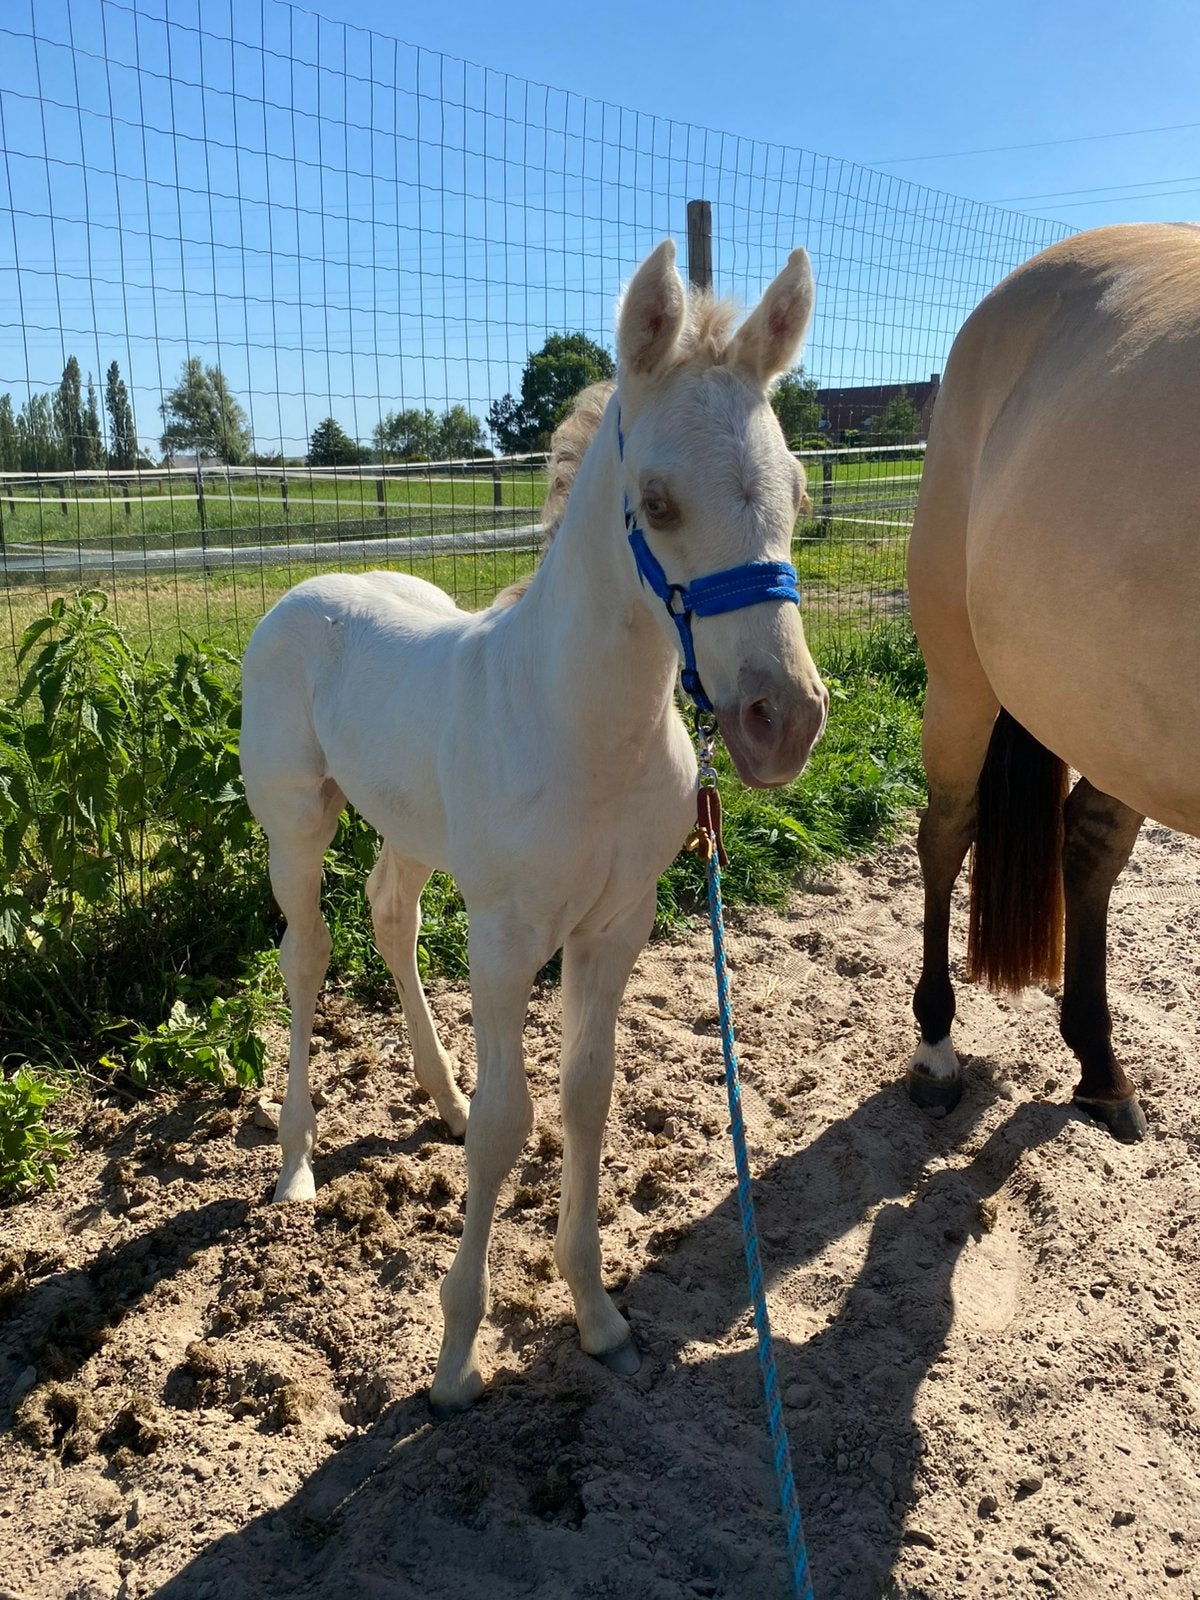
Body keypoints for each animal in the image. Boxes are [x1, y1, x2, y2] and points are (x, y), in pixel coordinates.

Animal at [240, 239, 830, 1413]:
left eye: (794, 489)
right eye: (656, 502)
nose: (781, 718)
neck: (587, 728)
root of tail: (307, 589)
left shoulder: (614, 927)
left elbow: (585, 1101)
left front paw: (596, 1314)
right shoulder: (510, 937)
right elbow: (515, 1125)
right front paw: (456, 1360)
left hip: (413, 829)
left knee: (390, 917)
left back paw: (441, 1097)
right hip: (295, 824)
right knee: (307, 955)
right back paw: (296, 1164)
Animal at [905, 222, 1200, 1144]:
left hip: (1111, 716)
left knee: (1088, 843)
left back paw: (1100, 1069)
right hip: (963, 681)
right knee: (947, 831)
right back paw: (935, 1049)